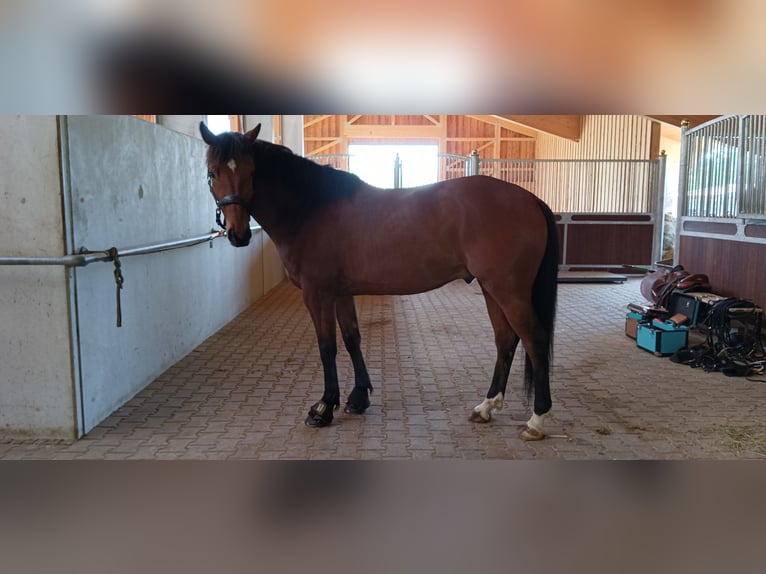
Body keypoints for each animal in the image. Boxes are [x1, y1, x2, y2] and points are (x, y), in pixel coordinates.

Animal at [200, 121, 560, 440]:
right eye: (213, 172)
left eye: (251, 172)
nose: (239, 235)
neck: (312, 208)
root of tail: (530, 200)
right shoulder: (340, 293)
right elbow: (351, 339)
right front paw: (358, 398)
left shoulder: (318, 294)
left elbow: (327, 346)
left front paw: (323, 408)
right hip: (491, 288)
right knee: (506, 340)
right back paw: (486, 407)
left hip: (509, 291)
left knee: (535, 340)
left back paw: (537, 420)